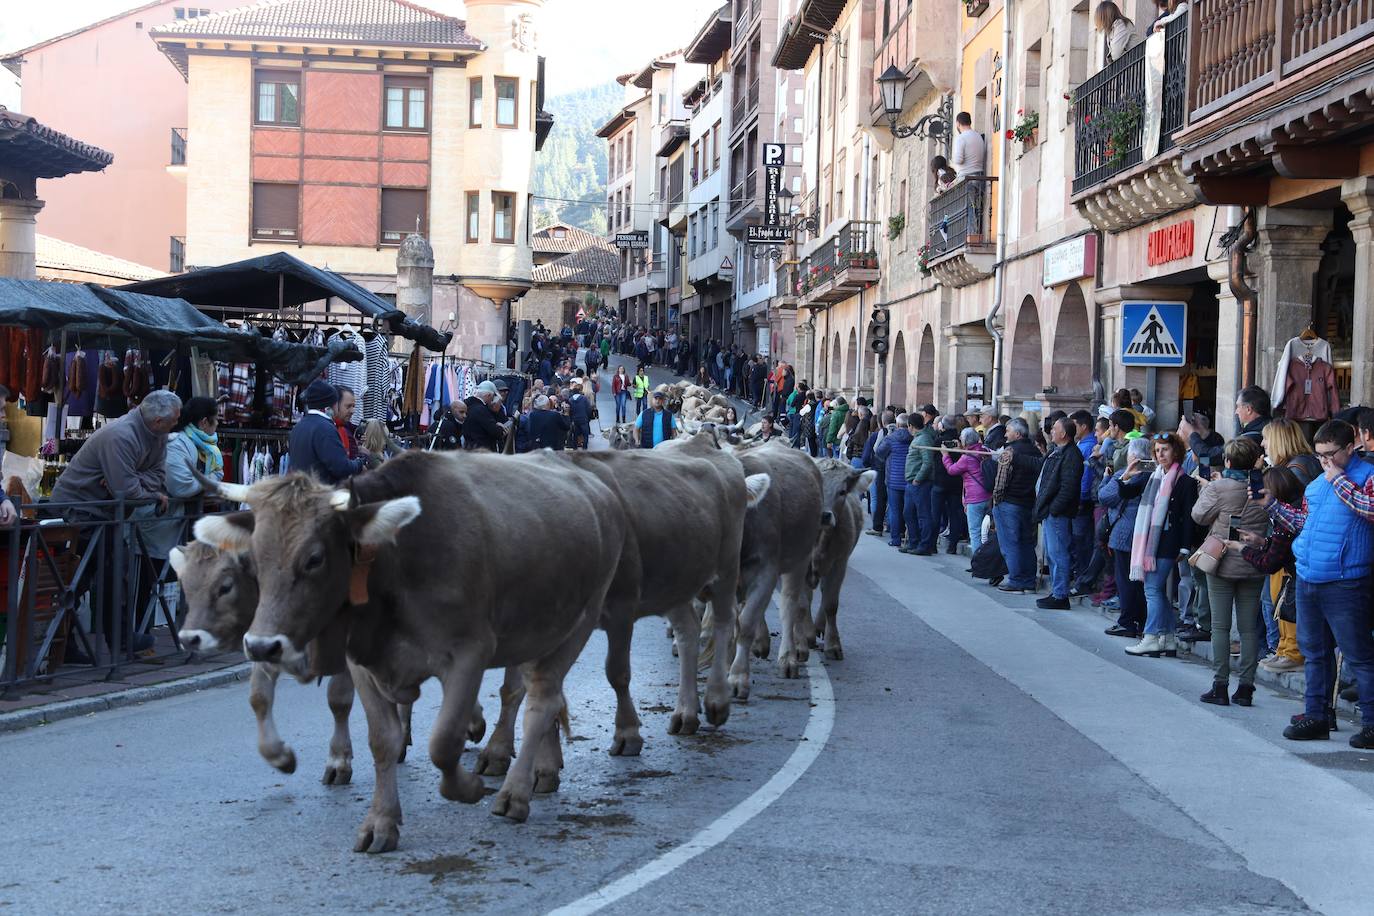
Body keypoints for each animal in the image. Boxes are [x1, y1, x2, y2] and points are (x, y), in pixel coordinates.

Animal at [193, 450, 623, 851]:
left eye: (314, 558)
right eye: (254, 560)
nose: (261, 645)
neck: (397, 561)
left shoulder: (470, 652)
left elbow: (443, 742)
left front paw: (467, 787)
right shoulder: (363, 663)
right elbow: (382, 740)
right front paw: (381, 823)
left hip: (580, 622)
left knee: (540, 703)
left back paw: (514, 792)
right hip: (537, 628)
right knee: (543, 695)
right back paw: (543, 770)